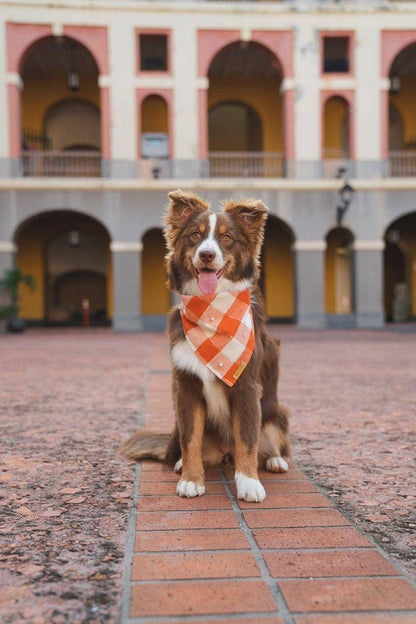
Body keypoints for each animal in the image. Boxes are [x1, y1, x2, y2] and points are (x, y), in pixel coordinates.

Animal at [120, 189, 290, 502]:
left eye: (227, 238)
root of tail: (225, 454)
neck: (211, 309)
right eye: (195, 235)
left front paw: (249, 482)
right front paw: (191, 479)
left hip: (277, 412)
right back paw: (179, 463)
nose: (207, 254)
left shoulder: (247, 386)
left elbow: (247, 439)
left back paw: (275, 460)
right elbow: (191, 440)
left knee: (270, 442)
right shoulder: (185, 387)